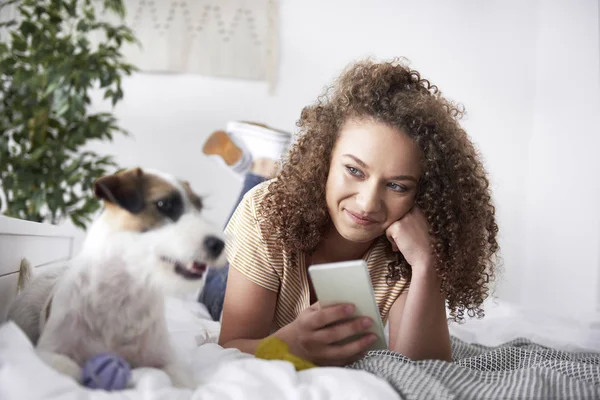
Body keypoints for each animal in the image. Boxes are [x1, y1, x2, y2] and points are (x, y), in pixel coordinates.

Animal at [6, 167, 227, 390]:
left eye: (199, 208)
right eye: (164, 204)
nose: (219, 244)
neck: (125, 288)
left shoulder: (167, 362)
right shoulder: (50, 353)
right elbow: (69, 370)